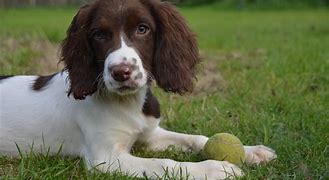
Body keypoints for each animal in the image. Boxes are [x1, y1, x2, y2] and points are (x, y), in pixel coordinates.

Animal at [0, 0, 276, 179]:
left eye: (142, 29)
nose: (120, 72)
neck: (128, 103)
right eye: (99, 35)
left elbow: (195, 138)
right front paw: (215, 168)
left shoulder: (150, 136)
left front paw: (252, 152)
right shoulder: (106, 158)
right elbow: (164, 163)